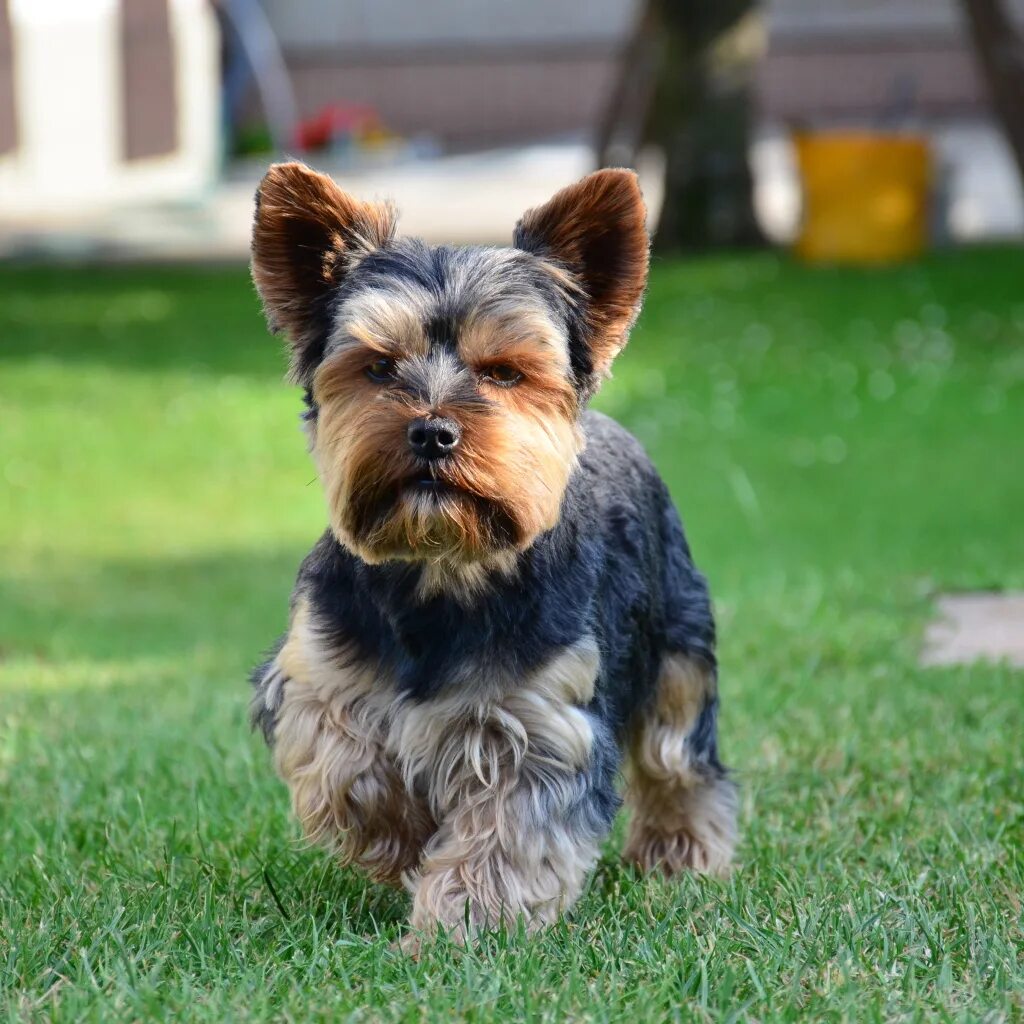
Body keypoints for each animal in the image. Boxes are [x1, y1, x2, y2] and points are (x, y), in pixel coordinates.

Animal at [251, 159, 741, 942]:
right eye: (379, 367)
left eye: (505, 372)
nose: (432, 431)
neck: (442, 566)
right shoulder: (317, 673)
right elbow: (345, 764)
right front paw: (404, 836)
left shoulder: (542, 715)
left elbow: (512, 828)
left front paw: (463, 928)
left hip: (678, 638)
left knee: (679, 754)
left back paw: (680, 854)